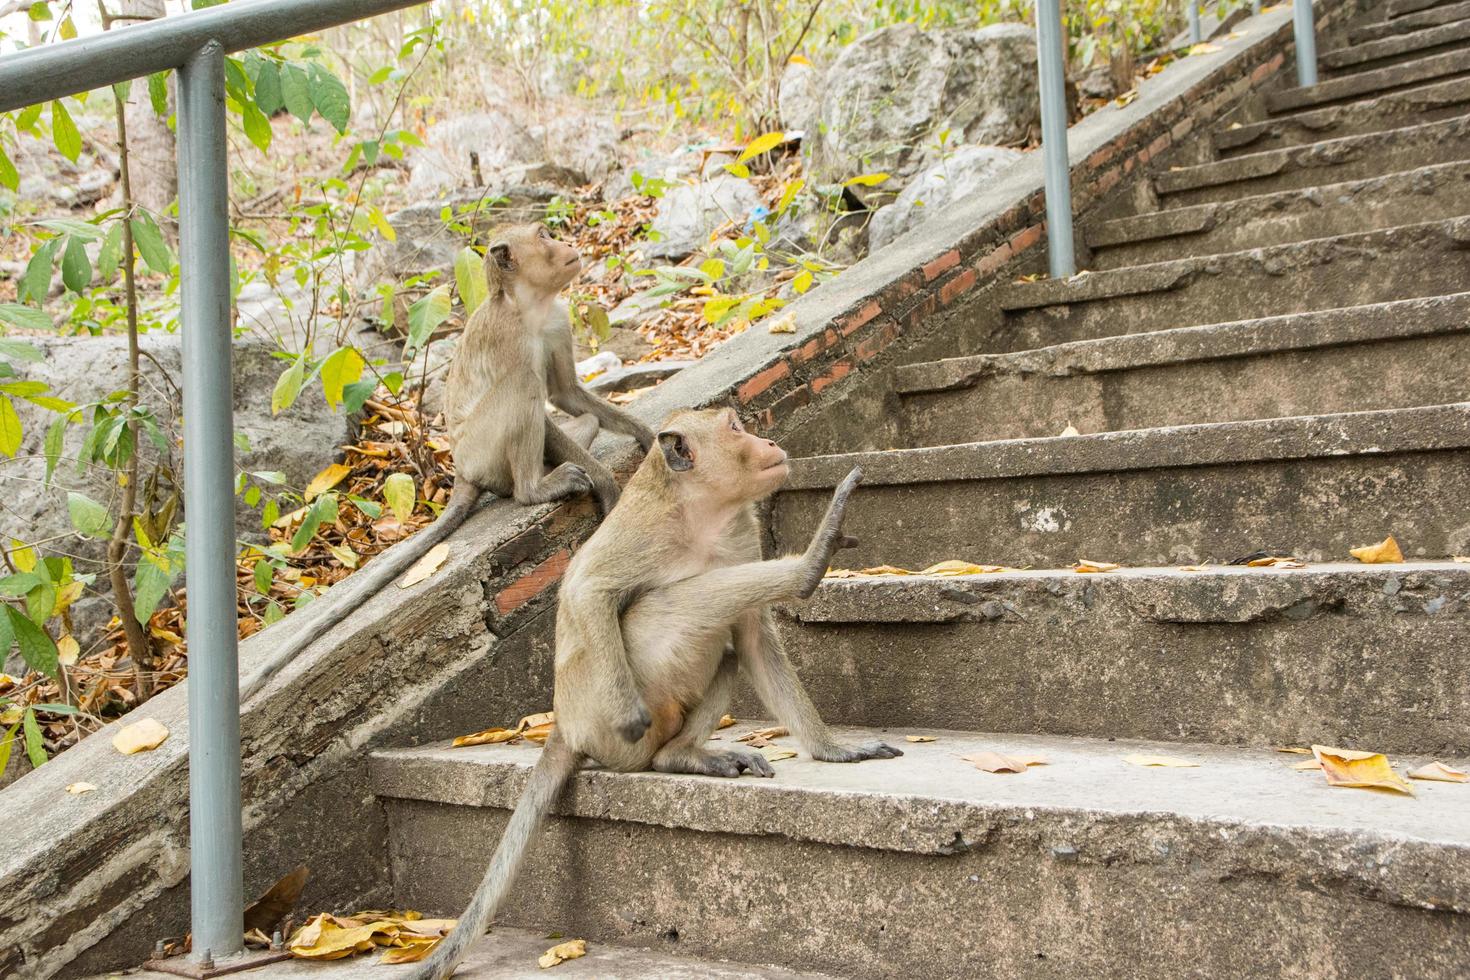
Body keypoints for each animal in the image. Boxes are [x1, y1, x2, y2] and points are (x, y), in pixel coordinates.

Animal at [239, 227, 649, 705]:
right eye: (545, 238)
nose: (565, 245)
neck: (528, 306)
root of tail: (463, 472)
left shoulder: (557, 319)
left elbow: (567, 394)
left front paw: (645, 433)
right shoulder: (512, 339)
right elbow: (540, 398)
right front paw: (606, 484)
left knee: (581, 419)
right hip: (485, 450)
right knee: (524, 390)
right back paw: (536, 488)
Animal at [408, 408, 899, 980]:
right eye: (736, 429)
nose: (770, 441)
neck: (702, 516)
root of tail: (564, 726)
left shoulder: (741, 534)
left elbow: (753, 640)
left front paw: (832, 749)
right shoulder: (641, 532)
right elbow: (588, 591)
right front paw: (628, 709)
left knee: (726, 651)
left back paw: (680, 756)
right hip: (607, 729)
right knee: (668, 606)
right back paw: (806, 569)